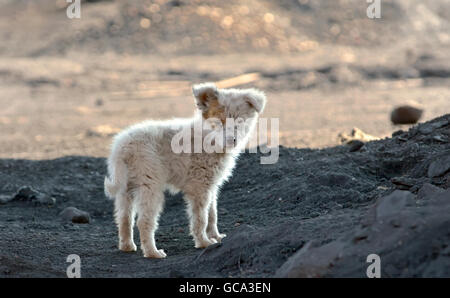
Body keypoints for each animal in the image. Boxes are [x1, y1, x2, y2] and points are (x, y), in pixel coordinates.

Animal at [103, 82, 266, 258]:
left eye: (240, 122)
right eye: (219, 121)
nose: (232, 140)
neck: (209, 138)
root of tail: (123, 147)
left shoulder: (211, 186)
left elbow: (212, 214)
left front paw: (216, 236)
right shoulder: (199, 187)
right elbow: (201, 218)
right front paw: (204, 242)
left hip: (126, 187)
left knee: (124, 218)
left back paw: (127, 246)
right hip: (150, 185)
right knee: (144, 221)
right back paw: (153, 252)